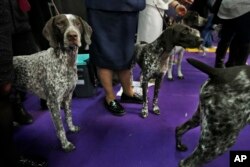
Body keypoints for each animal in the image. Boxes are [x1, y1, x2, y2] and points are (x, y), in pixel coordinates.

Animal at [13, 14, 92, 151]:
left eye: (77, 24)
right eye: (60, 24)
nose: (72, 36)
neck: (66, 61)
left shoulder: (68, 97)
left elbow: (68, 116)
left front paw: (71, 128)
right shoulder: (53, 102)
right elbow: (60, 127)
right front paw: (65, 144)